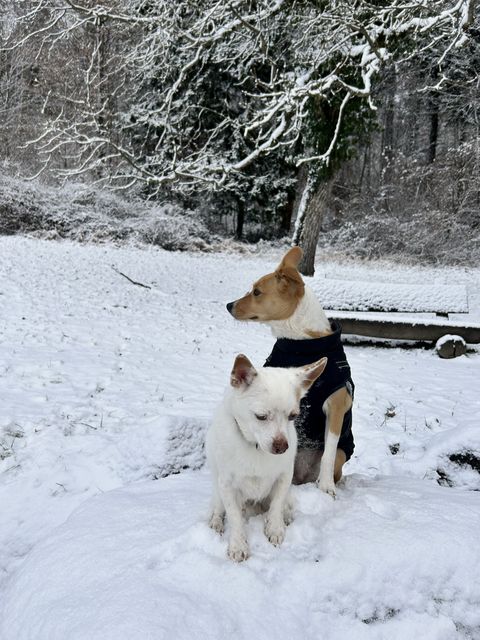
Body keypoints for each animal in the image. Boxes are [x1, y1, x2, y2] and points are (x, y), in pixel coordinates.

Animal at [206, 353, 327, 562]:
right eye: (260, 417)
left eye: (293, 416)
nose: (282, 446)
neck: (255, 447)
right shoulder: (226, 485)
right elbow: (234, 516)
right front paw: (238, 545)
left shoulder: (284, 477)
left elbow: (276, 505)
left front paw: (275, 528)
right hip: (218, 490)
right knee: (219, 508)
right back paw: (216, 523)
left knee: (281, 505)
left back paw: (285, 516)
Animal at [226, 246, 355, 498]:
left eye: (257, 292)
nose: (228, 305)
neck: (300, 345)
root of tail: (302, 476)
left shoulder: (336, 405)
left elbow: (328, 452)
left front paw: (326, 488)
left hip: (343, 453)